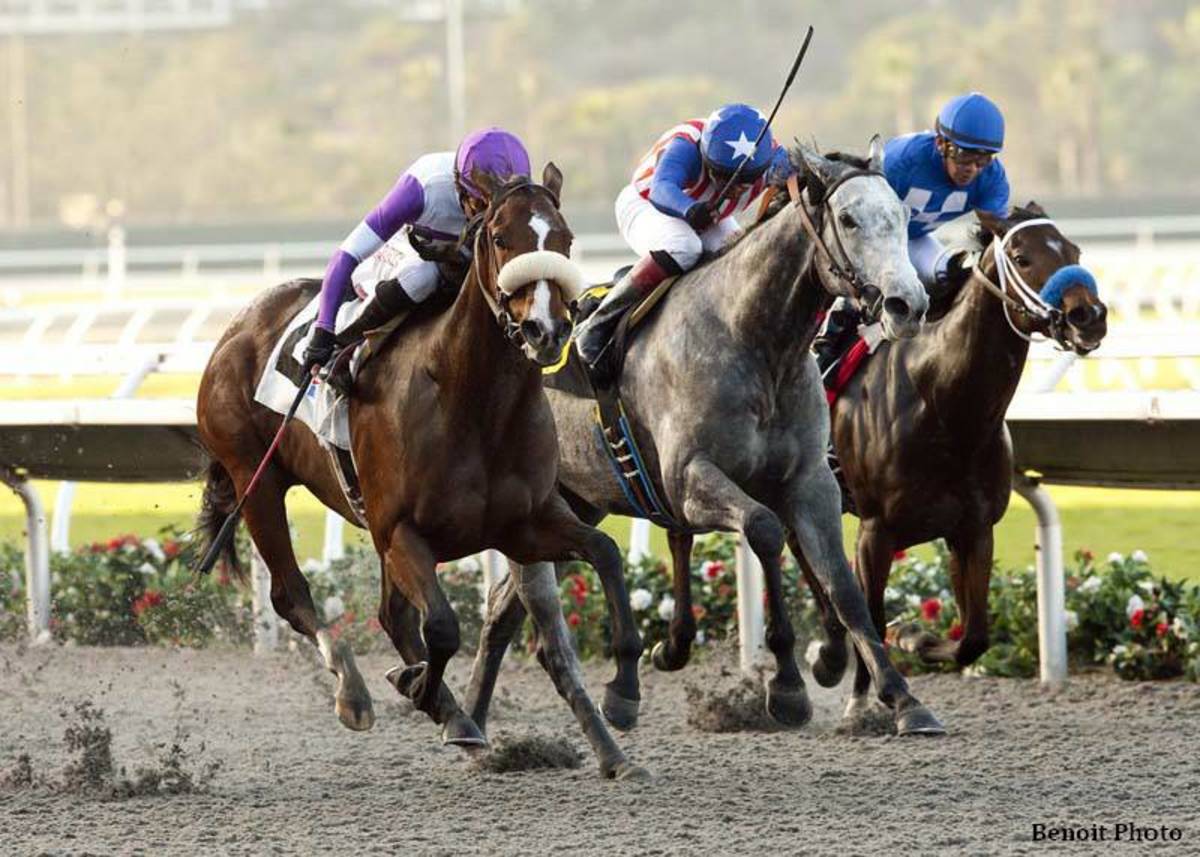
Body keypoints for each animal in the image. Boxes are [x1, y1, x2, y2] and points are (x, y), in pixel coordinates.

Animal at [196, 163, 648, 777]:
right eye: (500, 237)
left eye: (566, 239)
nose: (546, 329)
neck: (471, 400)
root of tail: (237, 326)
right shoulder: (402, 531)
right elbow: (443, 627)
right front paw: (426, 695)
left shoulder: (523, 526)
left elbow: (605, 553)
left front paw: (624, 693)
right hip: (257, 479)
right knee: (293, 595)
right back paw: (355, 691)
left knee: (391, 616)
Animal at [465, 141, 945, 734]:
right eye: (849, 219)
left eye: (901, 215)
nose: (909, 304)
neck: (756, 341)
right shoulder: (690, 479)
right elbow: (764, 530)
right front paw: (788, 685)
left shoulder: (812, 481)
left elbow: (844, 585)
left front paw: (899, 695)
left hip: (576, 501)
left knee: (502, 609)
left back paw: (473, 721)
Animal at [811, 201, 1108, 715]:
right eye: (1021, 256)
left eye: (1074, 250)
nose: (1086, 315)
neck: (941, 402)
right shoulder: (875, 530)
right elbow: (870, 613)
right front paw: (867, 700)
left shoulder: (971, 528)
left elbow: (973, 637)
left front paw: (913, 637)